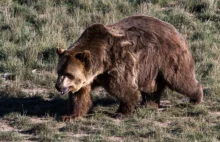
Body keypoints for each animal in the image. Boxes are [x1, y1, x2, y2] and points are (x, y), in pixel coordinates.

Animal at [55, 15, 203, 120]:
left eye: (69, 74)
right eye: (59, 72)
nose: (58, 86)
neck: (100, 64)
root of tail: (176, 30)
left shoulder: (117, 62)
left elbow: (124, 88)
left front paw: (121, 112)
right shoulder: (89, 78)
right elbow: (80, 96)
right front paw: (70, 115)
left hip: (167, 57)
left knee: (179, 79)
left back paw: (196, 98)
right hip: (151, 67)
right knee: (152, 87)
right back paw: (149, 104)